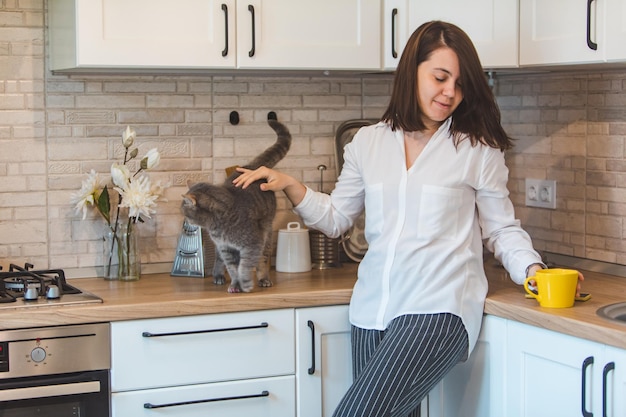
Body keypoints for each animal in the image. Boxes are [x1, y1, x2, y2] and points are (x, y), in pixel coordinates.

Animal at [178, 118, 290, 292]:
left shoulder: (252, 244)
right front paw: (235, 284)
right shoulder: (225, 249)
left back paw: (264, 278)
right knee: (219, 260)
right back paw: (218, 276)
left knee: (263, 259)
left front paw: (245, 282)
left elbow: (244, 266)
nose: (186, 221)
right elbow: (232, 268)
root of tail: (251, 167)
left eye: (185, 211)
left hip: (267, 232)